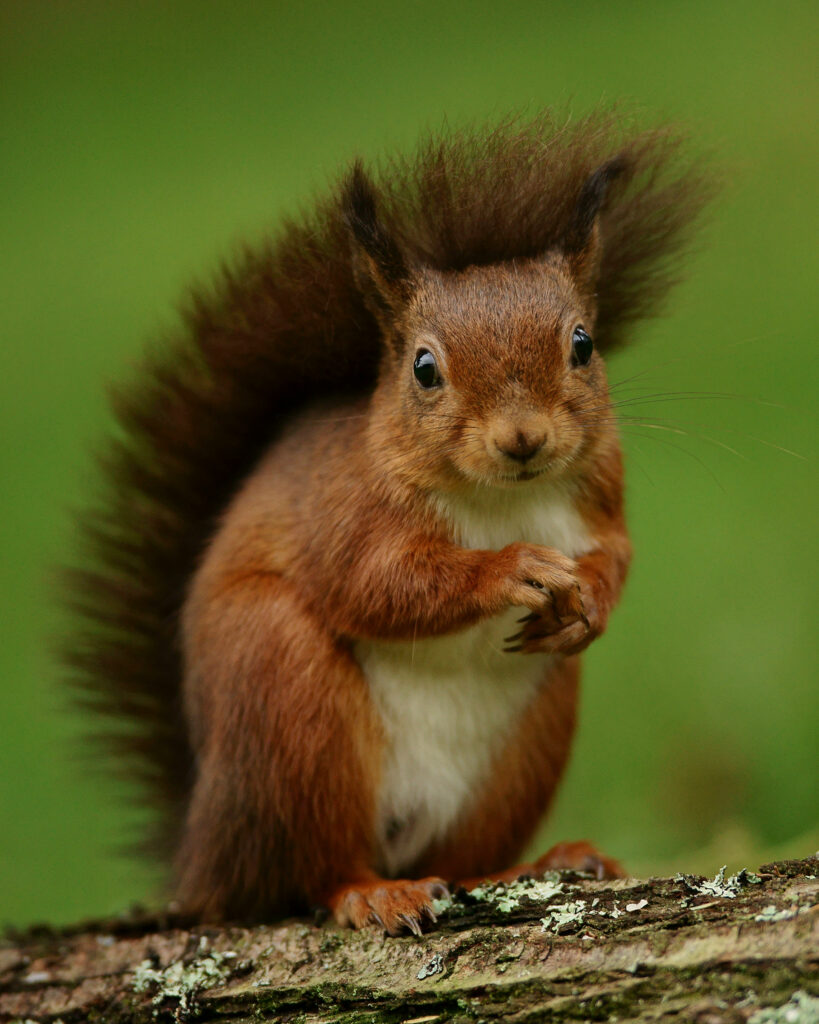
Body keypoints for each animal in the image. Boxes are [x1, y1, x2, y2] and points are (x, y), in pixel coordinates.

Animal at [66, 111, 709, 935]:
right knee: (312, 870)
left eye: (582, 345)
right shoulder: (343, 509)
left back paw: (535, 864)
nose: (523, 438)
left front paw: (587, 599)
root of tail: (203, 855)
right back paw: (371, 891)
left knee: (460, 859)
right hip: (280, 689)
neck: (498, 499)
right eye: (423, 369)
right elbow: (376, 583)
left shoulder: (601, 487)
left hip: (526, 742)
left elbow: (618, 554)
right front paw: (509, 568)